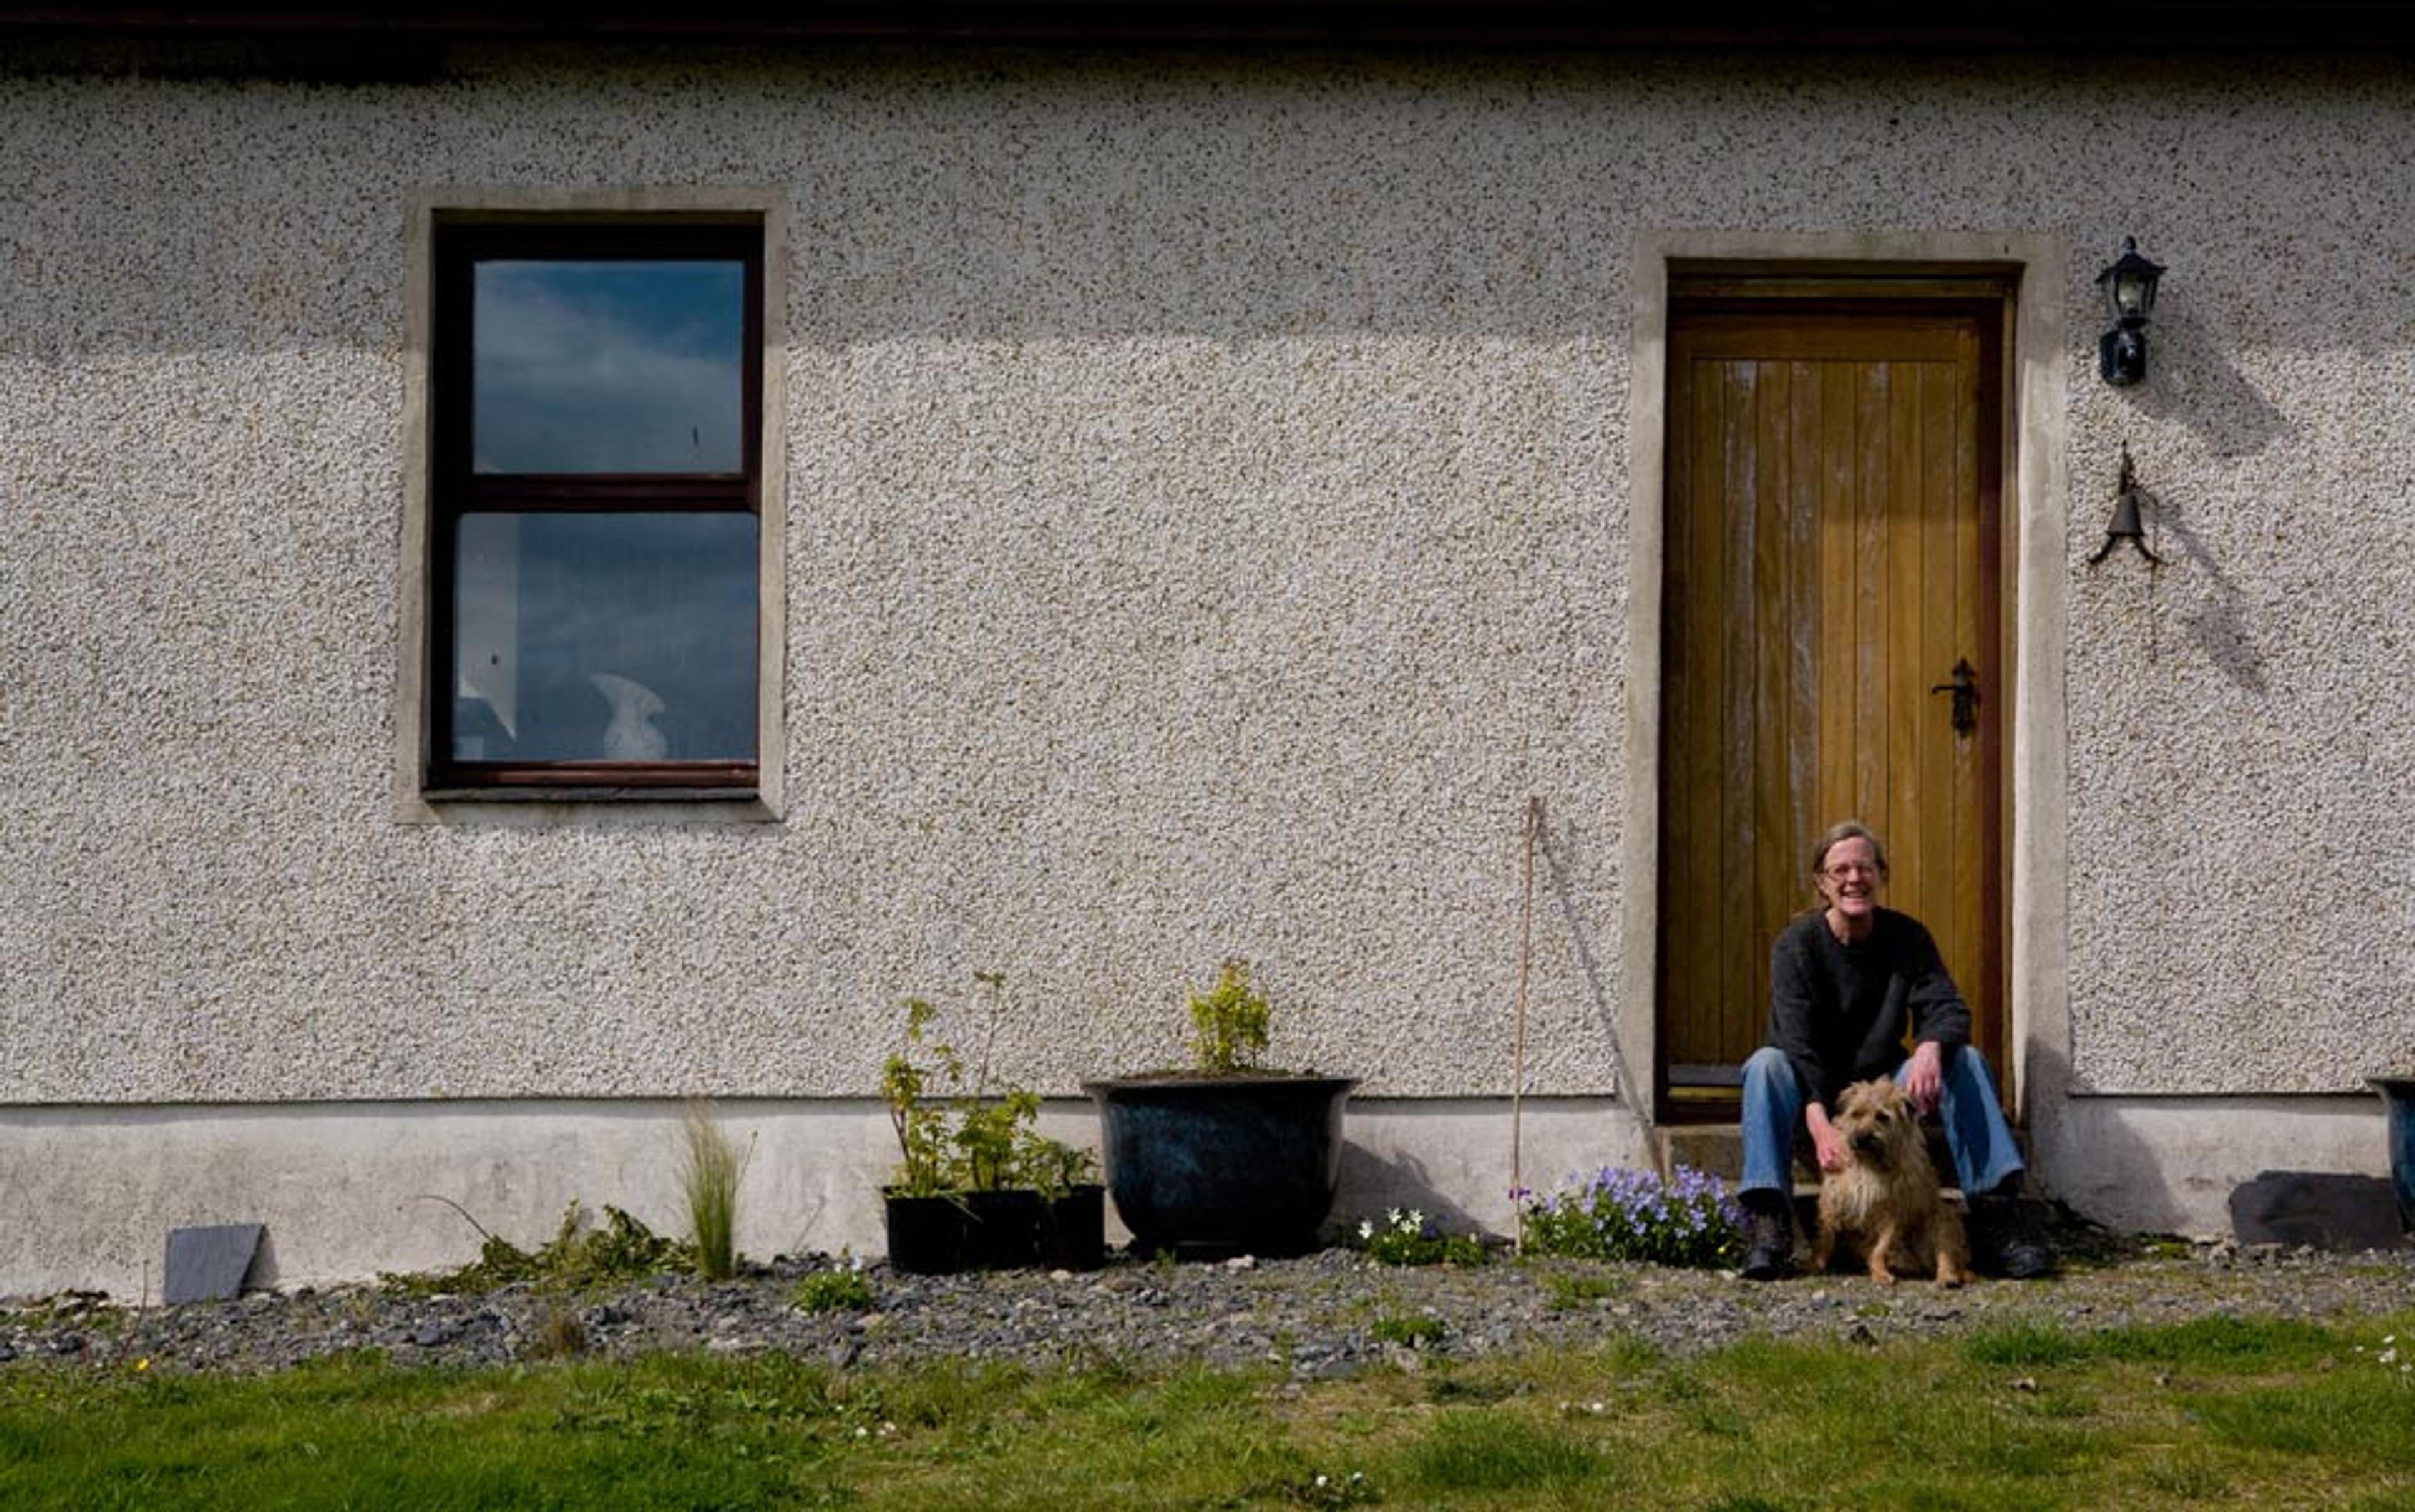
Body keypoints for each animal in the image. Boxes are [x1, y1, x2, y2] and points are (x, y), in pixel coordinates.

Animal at [1816, 1072, 1961, 1285]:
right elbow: (1825, 1239)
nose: (1861, 1139)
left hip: (1940, 1219)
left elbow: (1882, 1246)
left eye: (1882, 1117)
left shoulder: (1892, 1211)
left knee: (1946, 1254)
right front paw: (1815, 1265)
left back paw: (1947, 1276)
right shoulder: (1833, 1201)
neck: (1868, 1164)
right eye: (1856, 1114)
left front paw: (1880, 1272)